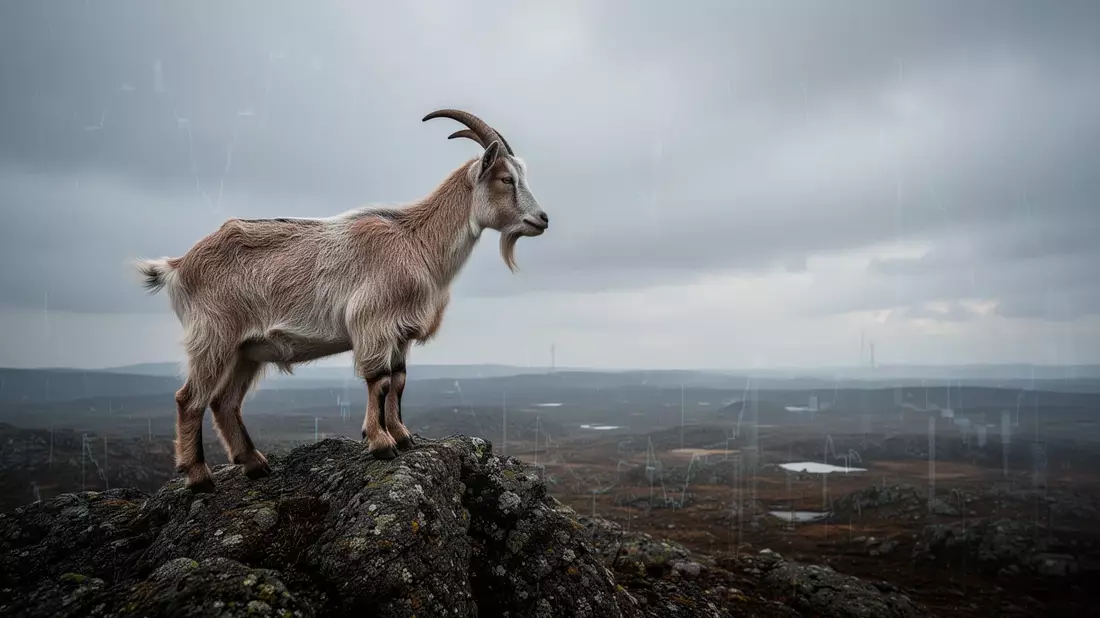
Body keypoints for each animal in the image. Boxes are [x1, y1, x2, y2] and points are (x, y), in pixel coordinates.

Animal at [135, 109, 549, 492]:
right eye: (506, 179)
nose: (542, 219)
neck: (416, 241)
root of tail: (177, 266)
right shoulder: (373, 322)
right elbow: (379, 381)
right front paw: (380, 443)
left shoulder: (400, 332)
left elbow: (399, 380)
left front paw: (402, 435)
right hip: (214, 335)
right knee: (189, 399)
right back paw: (199, 476)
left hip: (245, 349)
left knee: (225, 402)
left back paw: (254, 463)